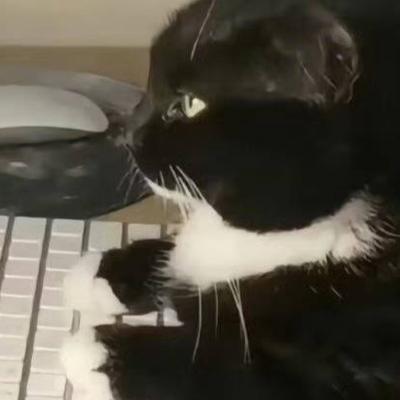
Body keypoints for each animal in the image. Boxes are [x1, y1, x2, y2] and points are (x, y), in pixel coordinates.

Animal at [61, 0, 400, 399]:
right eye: (150, 82)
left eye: (191, 103)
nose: (125, 133)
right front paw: (104, 272)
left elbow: (224, 363)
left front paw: (98, 350)